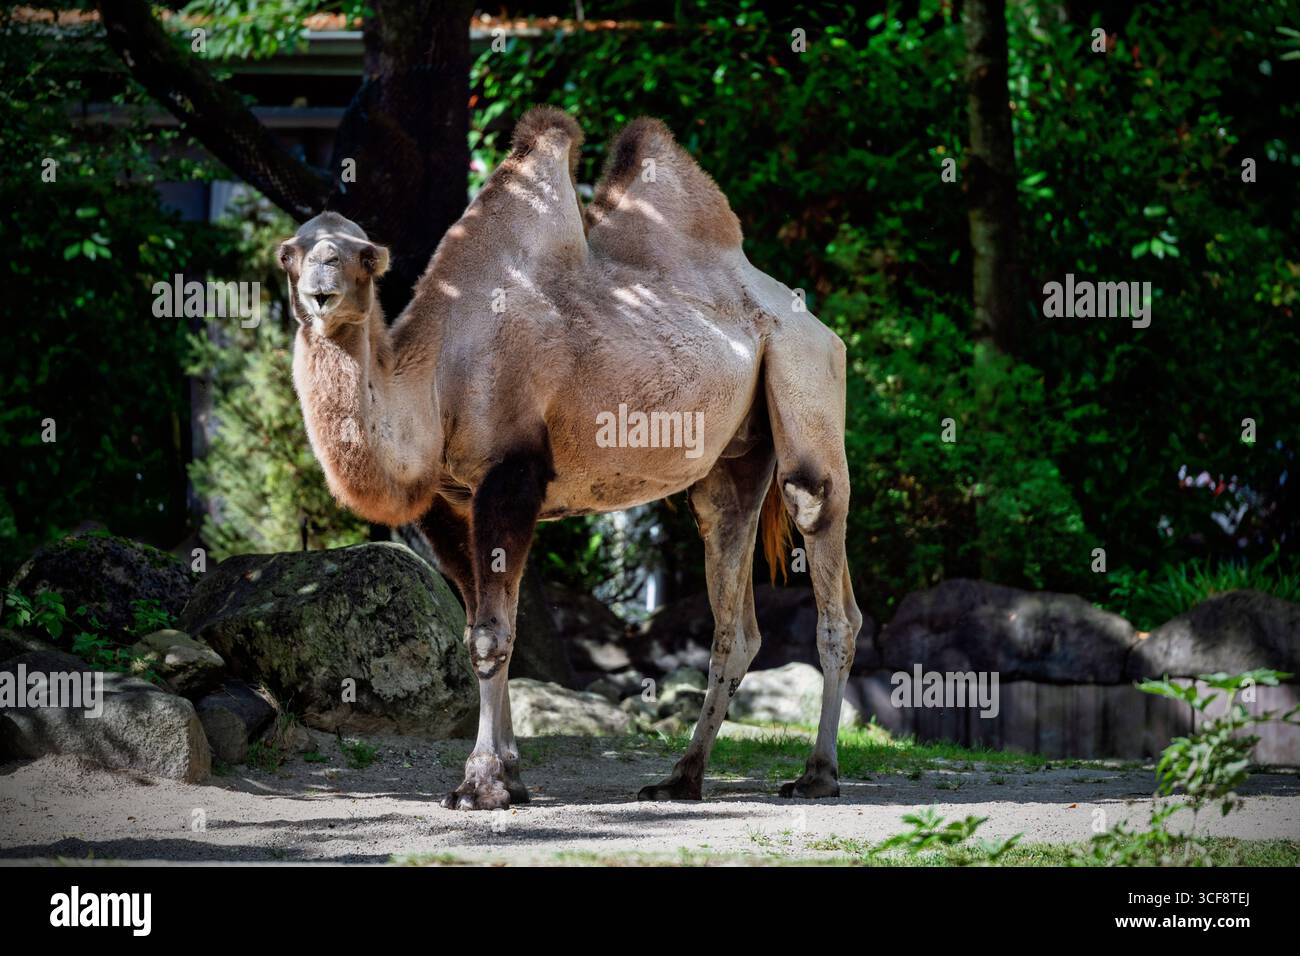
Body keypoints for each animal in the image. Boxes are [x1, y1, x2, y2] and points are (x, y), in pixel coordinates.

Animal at [278, 106, 863, 810]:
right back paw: (681, 776)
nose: (320, 292)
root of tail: (817, 324)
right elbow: (482, 626)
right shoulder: (450, 502)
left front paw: (479, 783)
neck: (437, 377)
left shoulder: (512, 476)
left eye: (361, 256)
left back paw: (817, 773)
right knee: (734, 608)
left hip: (806, 376)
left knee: (822, 539)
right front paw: (511, 776)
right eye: (292, 253)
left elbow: (491, 634)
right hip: (734, 462)